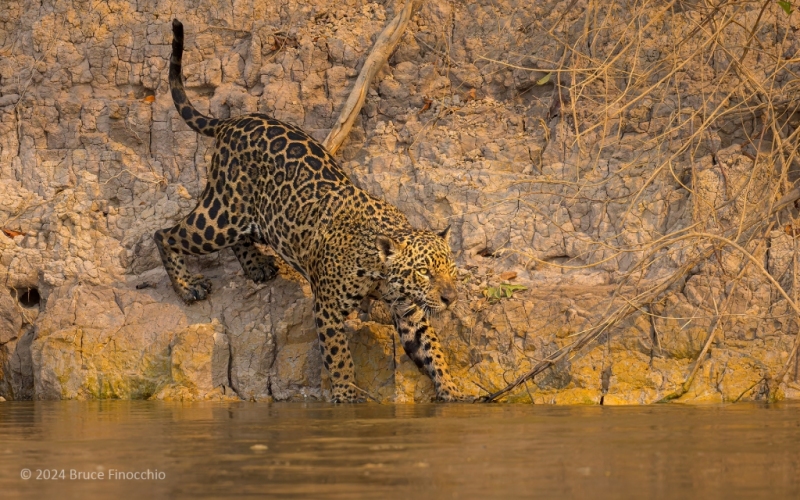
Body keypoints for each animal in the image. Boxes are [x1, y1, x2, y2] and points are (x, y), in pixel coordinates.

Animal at [153, 19, 471, 403]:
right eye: (424, 272)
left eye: (450, 269)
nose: (450, 299)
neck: (379, 270)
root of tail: (234, 120)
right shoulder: (328, 309)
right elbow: (339, 355)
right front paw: (347, 394)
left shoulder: (410, 314)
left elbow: (433, 351)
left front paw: (453, 390)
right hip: (220, 216)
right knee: (165, 234)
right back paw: (187, 287)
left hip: (250, 216)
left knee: (237, 237)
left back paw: (256, 266)